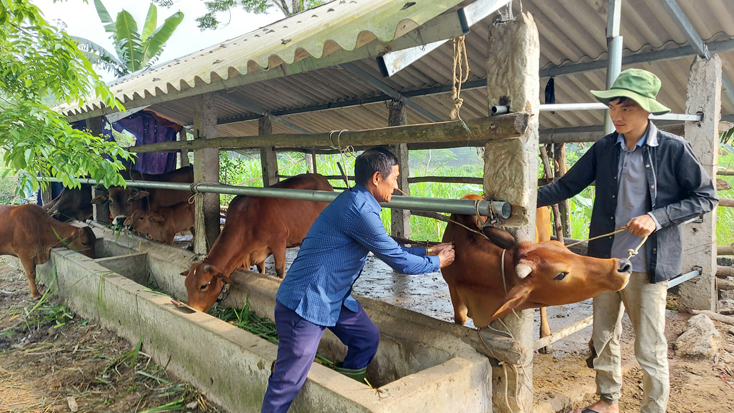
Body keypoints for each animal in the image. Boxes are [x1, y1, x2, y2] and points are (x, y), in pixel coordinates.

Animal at [183, 172, 334, 310]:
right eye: (186, 284)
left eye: (203, 286)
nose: (190, 308)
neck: (245, 220)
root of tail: (323, 180)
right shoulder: (256, 254)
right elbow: (261, 271)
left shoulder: (279, 242)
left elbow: (279, 270)